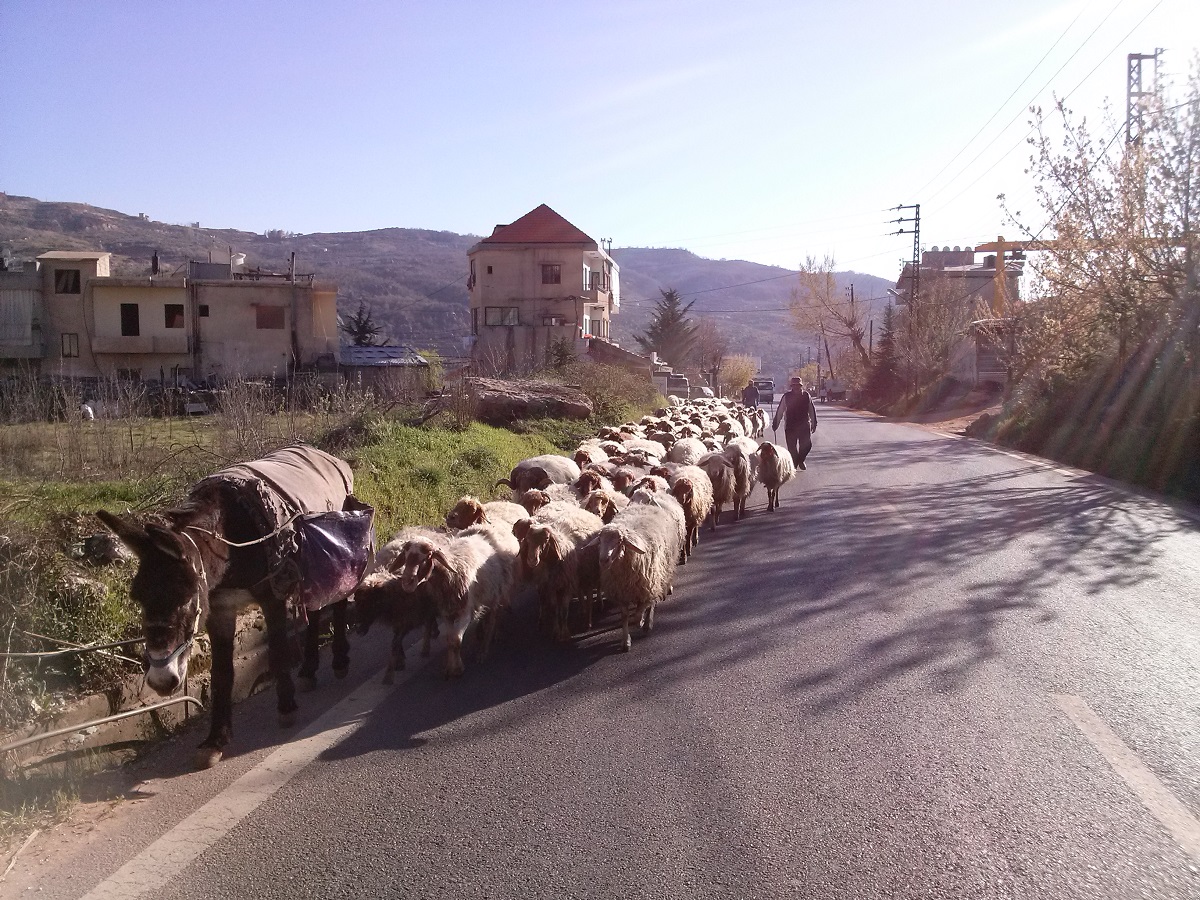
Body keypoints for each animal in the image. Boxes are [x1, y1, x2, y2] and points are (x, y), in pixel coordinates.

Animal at [98, 444, 364, 769]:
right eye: (138, 598)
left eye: (186, 598)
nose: (162, 681)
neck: (229, 544)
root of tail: (319, 452)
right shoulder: (219, 609)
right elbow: (221, 674)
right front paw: (215, 740)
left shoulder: (272, 596)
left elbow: (277, 651)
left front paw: (286, 708)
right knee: (313, 612)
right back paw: (309, 670)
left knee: (336, 601)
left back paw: (338, 660)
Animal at [384, 522, 518, 677]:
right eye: (405, 556)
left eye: (427, 556)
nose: (407, 582)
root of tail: (486, 527)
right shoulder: (447, 611)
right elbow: (449, 640)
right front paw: (449, 667)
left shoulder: (466, 611)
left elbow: (456, 641)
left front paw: (457, 669)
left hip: (497, 592)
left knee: (492, 619)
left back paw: (484, 650)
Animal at [513, 503, 604, 641]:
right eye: (527, 539)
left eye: (546, 539)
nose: (531, 560)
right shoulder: (550, 585)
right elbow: (555, 609)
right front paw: (556, 630)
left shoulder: (566, 585)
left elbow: (564, 611)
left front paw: (564, 632)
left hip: (588, 572)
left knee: (589, 594)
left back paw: (588, 618)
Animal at [595, 499, 685, 652]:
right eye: (600, 541)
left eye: (619, 541)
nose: (603, 560)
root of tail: (645, 505)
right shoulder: (621, 593)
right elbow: (625, 616)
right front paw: (626, 642)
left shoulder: (646, 589)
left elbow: (638, 616)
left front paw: (642, 622)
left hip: (657, 577)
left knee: (652, 602)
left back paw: (648, 622)